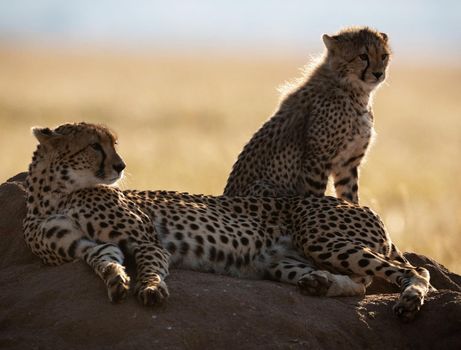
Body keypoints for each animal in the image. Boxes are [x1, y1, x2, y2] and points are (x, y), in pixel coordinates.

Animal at [24, 122, 428, 320]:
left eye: (113, 144)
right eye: (94, 145)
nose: (121, 166)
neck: (57, 193)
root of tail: (366, 208)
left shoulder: (145, 239)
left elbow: (152, 265)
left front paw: (151, 289)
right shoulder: (89, 247)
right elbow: (106, 262)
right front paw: (117, 281)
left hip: (321, 238)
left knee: (412, 272)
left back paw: (409, 301)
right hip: (282, 260)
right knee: (358, 283)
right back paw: (319, 283)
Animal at [225, 26, 390, 202]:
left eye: (384, 56)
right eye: (363, 56)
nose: (378, 73)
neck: (355, 92)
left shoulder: (347, 164)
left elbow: (350, 198)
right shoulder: (317, 160)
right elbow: (315, 193)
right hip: (263, 186)